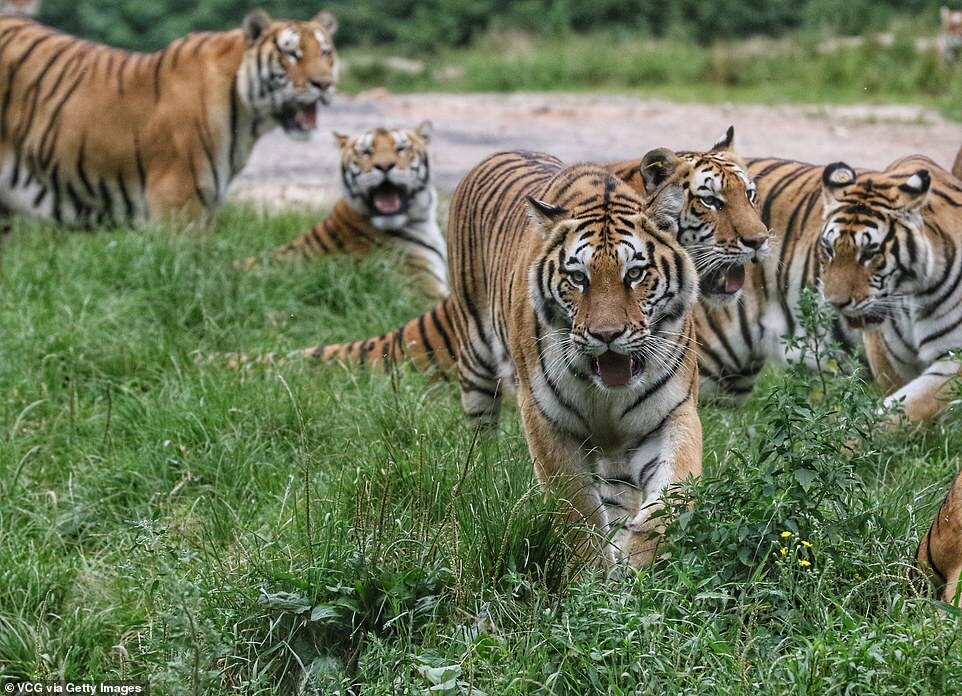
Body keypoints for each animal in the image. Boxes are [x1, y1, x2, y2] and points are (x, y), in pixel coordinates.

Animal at [808, 158, 960, 424]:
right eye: (829, 250)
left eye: (869, 253)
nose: (836, 303)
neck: (914, 297)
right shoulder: (889, 358)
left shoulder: (953, 357)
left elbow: (910, 407)